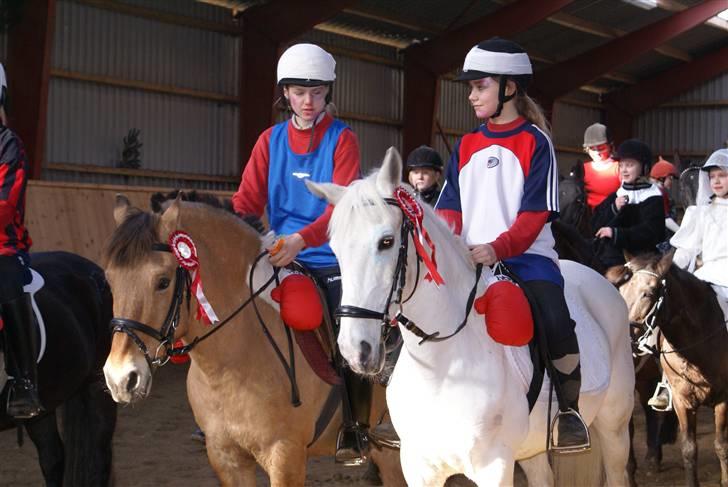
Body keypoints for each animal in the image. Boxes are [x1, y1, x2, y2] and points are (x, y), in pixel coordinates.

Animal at [101, 195, 404, 487]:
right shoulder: (226, 458)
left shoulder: (285, 456)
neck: (232, 364)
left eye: (163, 282)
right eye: (110, 280)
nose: (121, 379)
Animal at [308, 150, 636, 487]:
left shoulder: (494, 466)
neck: (441, 365)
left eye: (386, 241)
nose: (355, 350)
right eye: (335, 250)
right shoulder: (418, 467)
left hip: (614, 427)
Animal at [604, 254, 728, 486]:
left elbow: (721, 445)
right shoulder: (681, 400)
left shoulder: (723, 398)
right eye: (621, 292)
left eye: (649, 293)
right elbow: (689, 451)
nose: (622, 335)